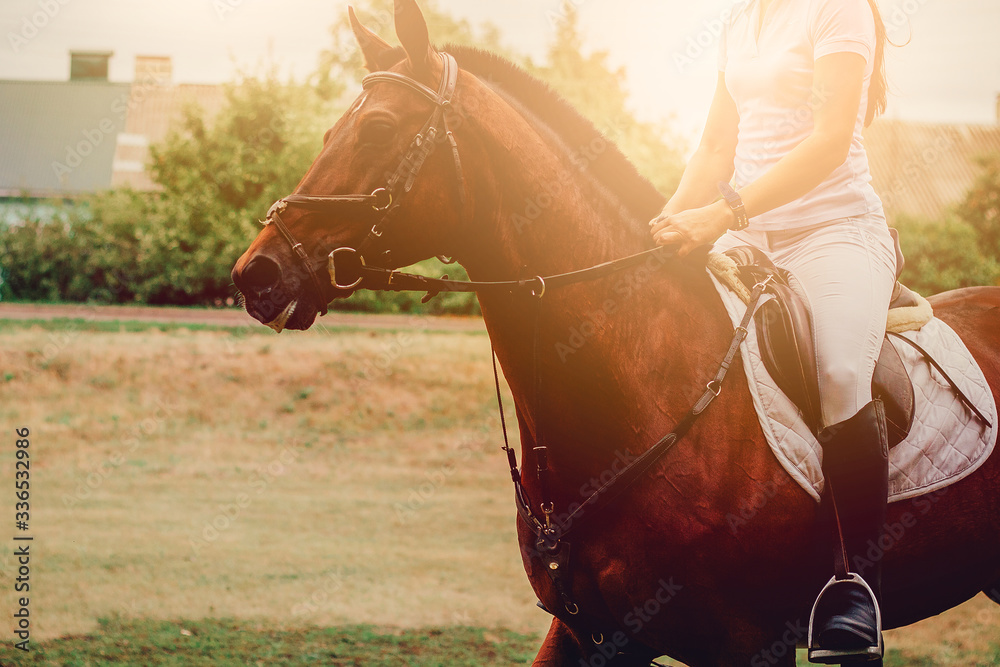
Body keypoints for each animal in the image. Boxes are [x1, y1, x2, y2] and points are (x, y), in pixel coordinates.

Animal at [230, 2, 1000, 664]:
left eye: (378, 132)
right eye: (330, 134)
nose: (256, 273)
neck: (643, 389)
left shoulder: (748, 643)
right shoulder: (592, 633)